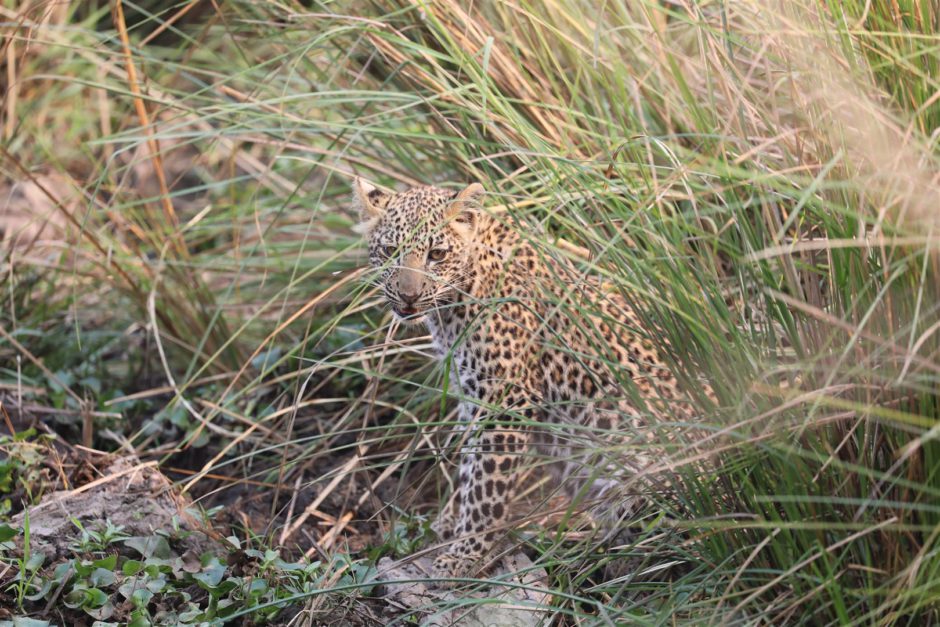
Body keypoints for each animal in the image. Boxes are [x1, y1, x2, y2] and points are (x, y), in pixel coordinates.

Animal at [354, 175, 712, 580]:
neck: (452, 309)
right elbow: (468, 467)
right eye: (390, 250)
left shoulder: (506, 402)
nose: (408, 298)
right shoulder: (472, 396)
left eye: (437, 255)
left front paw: (465, 554)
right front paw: (448, 526)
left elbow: (485, 488)